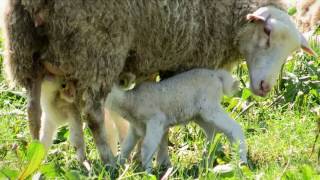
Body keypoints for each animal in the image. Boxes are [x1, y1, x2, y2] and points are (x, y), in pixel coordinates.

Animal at [106, 68, 246, 172]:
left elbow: (147, 147)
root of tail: (217, 75)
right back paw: (207, 161)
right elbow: (126, 147)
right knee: (212, 133)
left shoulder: (156, 121)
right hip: (199, 114)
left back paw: (241, 161)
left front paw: (147, 172)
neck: (131, 101)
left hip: (210, 107)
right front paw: (118, 168)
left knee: (234, 128)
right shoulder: (135, 128)